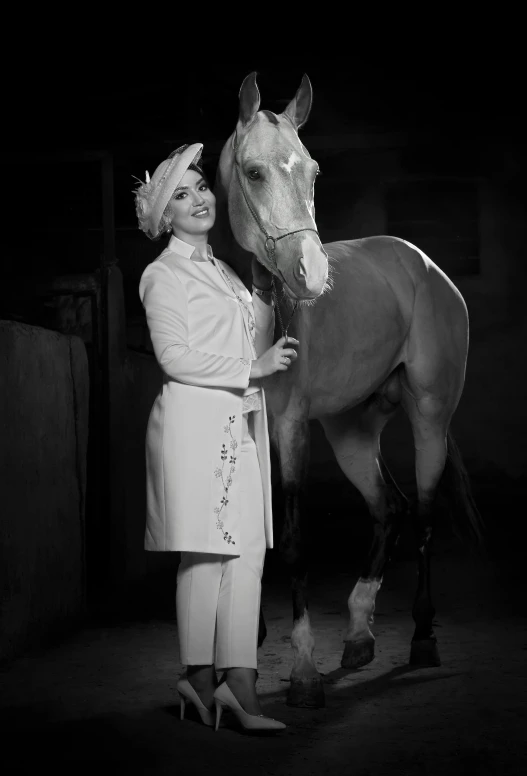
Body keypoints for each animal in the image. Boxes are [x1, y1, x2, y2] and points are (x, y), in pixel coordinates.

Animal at [208, 73, 484, 708]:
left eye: (312, 170)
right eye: (253, 172)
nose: (311, 274)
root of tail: (425, 265)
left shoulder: (290, 429)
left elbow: (293, 541)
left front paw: (304, 668)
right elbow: (248, 534)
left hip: (429, 417)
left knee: (423, 512)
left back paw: (421, 638)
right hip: (351, 430)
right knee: (389, 509)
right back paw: (358, 633)